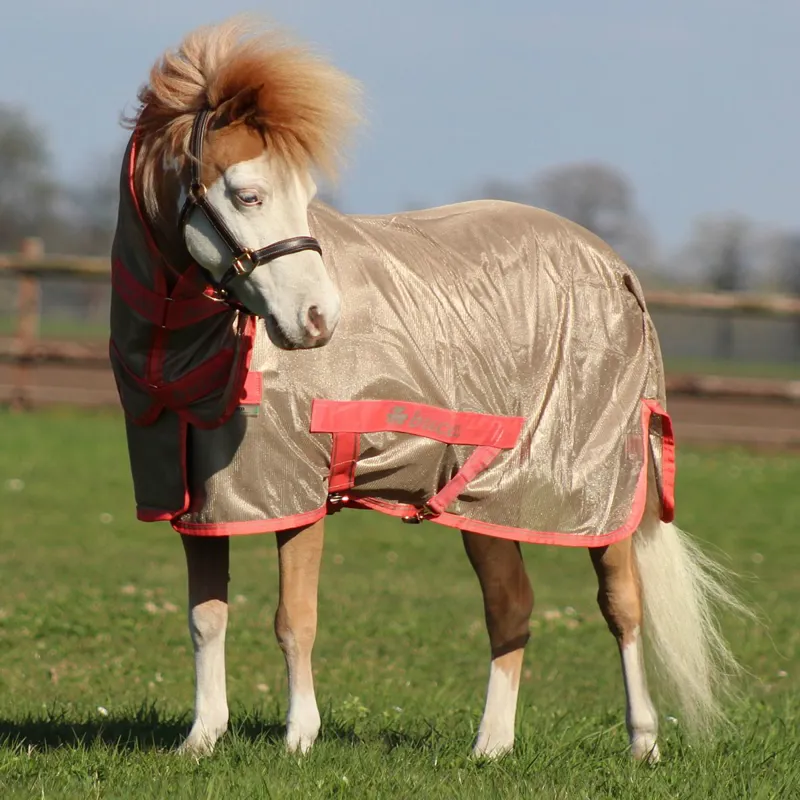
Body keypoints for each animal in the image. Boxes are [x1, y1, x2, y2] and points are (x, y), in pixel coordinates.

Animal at [112, 17, 747, 762]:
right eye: (248, 194)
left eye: (304, 193)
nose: (319, 320)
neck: (183, 352)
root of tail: (617, 270)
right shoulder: (205, 504)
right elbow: (206, 617)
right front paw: (202, 739)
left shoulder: (296, 495)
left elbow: (294, 617)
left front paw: (299, 739)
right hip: (488, 499)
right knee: (512, 607)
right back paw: (491, 747)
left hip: (598, 498)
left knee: (622, 605)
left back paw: (642, 743)